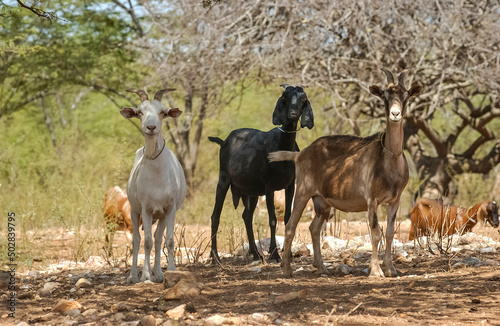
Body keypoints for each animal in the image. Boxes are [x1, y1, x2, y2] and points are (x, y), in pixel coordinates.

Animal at [120, 88, 187, 284]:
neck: (158, 174)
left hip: (162, 216)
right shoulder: (146, 209)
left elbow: (168, 240)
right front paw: (145, 276)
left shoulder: (170, 208)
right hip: (134, 211)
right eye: (140, 111)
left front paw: (169, 270)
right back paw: (134, 276)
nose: (151, 127)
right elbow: (147, 242)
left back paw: (159, 273)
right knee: (137, 240)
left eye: (162, 112)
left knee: (158, 239)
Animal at [209, 85, 314, 264]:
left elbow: (287, 218)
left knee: (246, 216)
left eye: (303, 98)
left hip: (252, 192)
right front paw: (275, 254)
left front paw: (287, 254)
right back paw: (215, 257)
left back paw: (256, 253)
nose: (293, 114)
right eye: (284, 97)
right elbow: (272, 220)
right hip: (223, 180)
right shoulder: (269, 187)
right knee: (215, 216)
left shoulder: (290, 185)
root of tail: (224, 141)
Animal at [270, 69, 422, 278]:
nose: (395, 114)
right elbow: (375, 233)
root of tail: (301, 154)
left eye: (406, 96)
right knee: (290, 226)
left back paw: (322, 267)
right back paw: (286, 269)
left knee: (314, 228)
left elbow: (390, 233)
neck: (389, 160)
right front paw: (376, 271)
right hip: (302, 191)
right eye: (384, 97)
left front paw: (391, 269)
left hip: (322, 201)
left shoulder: (395, 200)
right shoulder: (372, 200)